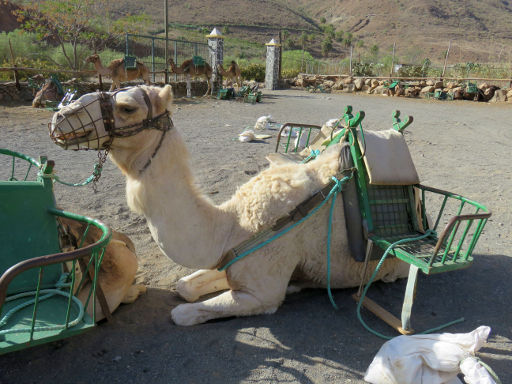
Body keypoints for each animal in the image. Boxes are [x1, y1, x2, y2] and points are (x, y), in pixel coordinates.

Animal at [50, 85, 410, 326]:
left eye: (126, 107)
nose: (61, 116)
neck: (232, 226)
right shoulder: (229, 260)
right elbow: (184, 286)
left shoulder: (262, 292)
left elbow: (181, 313)